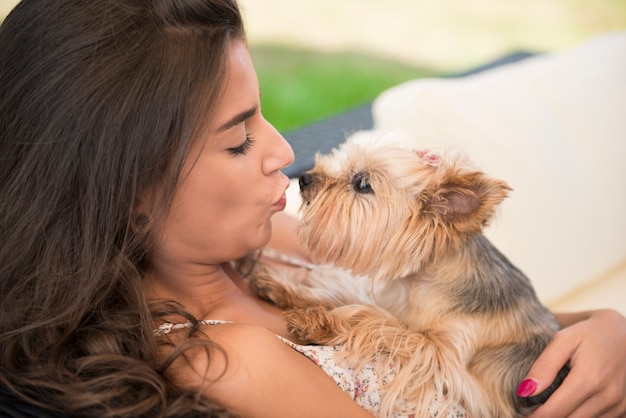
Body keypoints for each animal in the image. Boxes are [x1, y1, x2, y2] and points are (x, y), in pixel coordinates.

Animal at [247, 131, 560, 418]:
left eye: (362, 184)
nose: (304, 179)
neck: (419, 281)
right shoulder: (394, 303)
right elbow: (353, 300)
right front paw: (283, 288)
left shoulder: (455, 369)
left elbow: (382, 324)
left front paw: (320, 324)